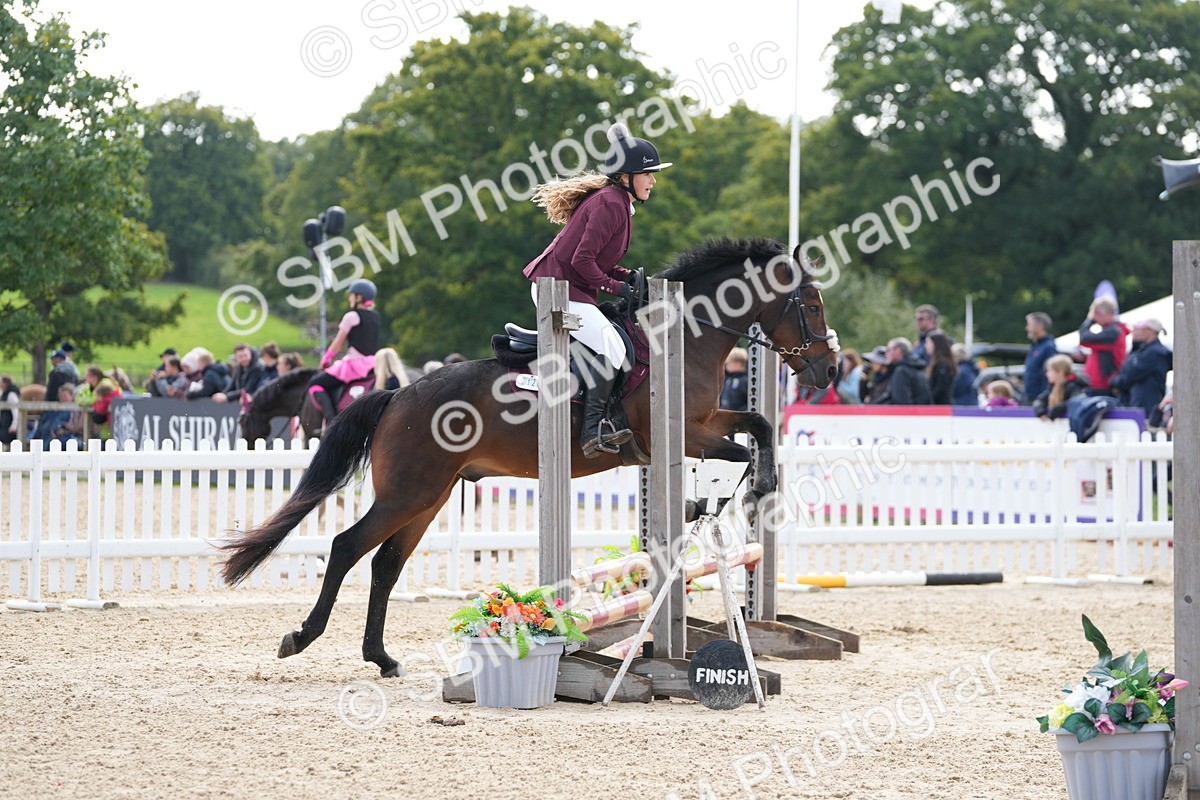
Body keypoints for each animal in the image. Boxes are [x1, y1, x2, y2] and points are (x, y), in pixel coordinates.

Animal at [220, 238, 839, 676]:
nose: (829, 370)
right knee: (348, 547)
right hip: (409, 493)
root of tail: (398, 394)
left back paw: (381, 657)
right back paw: (302, 637)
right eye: (810, 303)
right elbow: (742, 449)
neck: (686, 334)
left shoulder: (705, 423)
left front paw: (744, 494)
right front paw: (745, 493)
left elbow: (759, 426)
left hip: (428, 496)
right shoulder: (684, 432)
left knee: (384, 563)